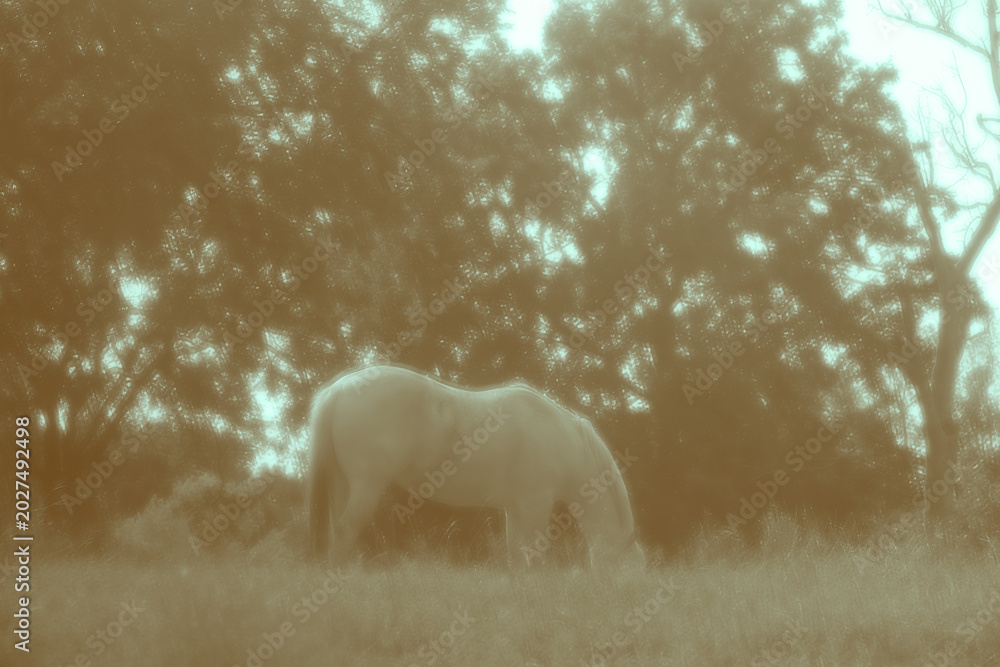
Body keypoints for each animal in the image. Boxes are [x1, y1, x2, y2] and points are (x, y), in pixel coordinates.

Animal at [307, 364, 644, 568]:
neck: (564, 441)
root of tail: (338, 391)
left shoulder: (515, 508)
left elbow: (516, 553)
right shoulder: (535, 503)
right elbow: (535, 552)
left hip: (344, 485)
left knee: (339, 532)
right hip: (367, 486)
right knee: (346, 530)